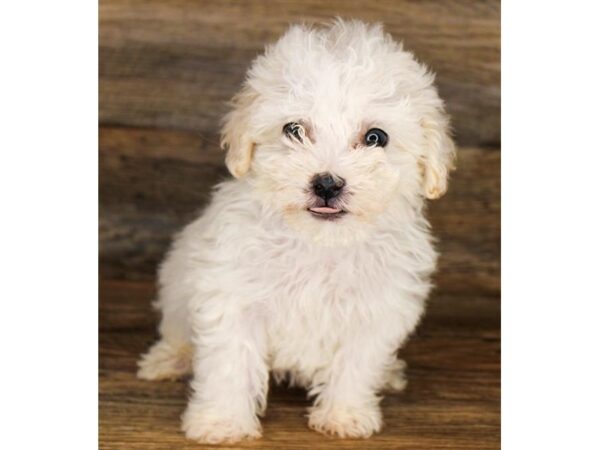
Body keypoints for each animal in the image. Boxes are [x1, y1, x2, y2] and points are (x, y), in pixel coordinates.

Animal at [136, 20, 454, 442]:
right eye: (294, 130)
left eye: (376, 137)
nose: (327, 184)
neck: (320, 242)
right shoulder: (233, 296)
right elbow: (230, 363)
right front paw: (222, 422)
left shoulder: (375, 310)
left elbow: (356, 363)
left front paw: (345, 415)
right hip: (176, 281)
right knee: (177, 328)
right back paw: (170, 358)